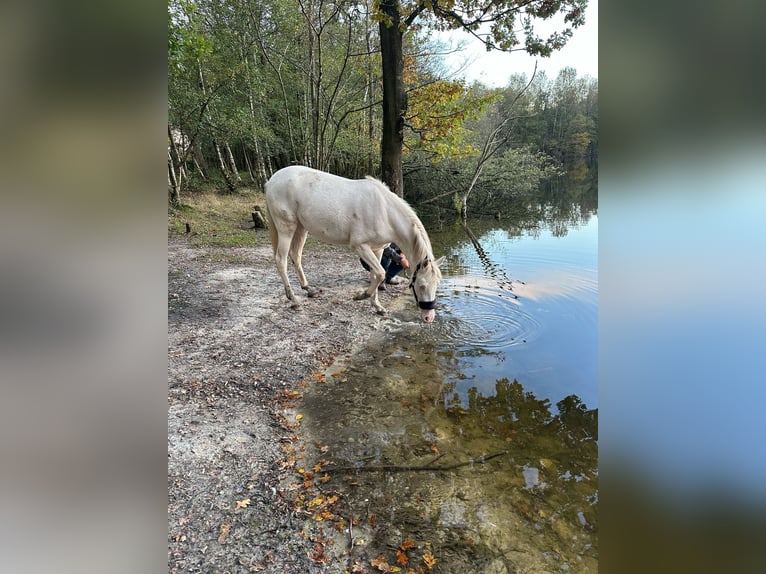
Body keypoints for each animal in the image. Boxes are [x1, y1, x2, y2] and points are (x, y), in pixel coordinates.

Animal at [266, 165, 448, 324]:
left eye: (436, 285)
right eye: (422, 286)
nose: (428, 317)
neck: (384, 211)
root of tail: (272, 181)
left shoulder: (377, 249)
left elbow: (376, 275)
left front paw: (378, 307)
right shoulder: (361, 247)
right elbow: (381, 273)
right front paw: (361, 296)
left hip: (301, 228)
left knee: (295, 256)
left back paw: (308, 289)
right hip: (286, 227)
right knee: (281, 260)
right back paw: (293, 299)